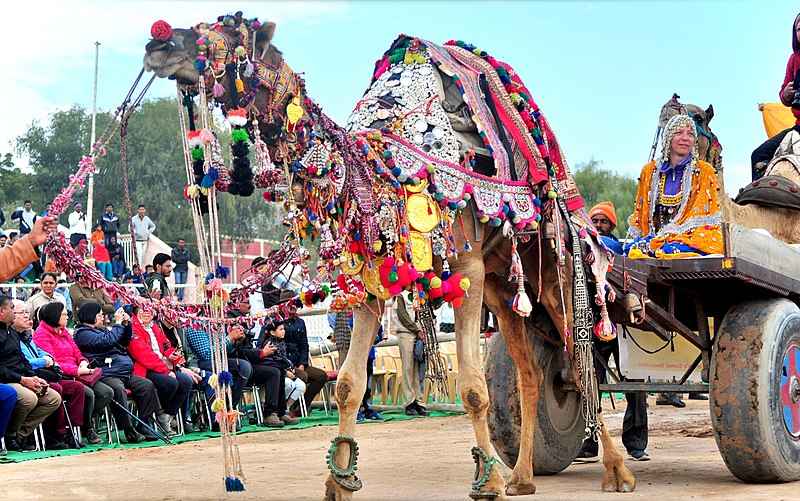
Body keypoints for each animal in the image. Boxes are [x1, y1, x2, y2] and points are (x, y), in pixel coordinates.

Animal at [141, 14, 636, 496]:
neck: (371, 172)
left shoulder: (466, 268)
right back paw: (524, 476)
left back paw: (614, 470)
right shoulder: (371, 281)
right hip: (504, 283)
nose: (158, 44)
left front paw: (488, 482)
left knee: (579, 356)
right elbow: (347, 385)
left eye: (228, 33)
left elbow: (473, 388)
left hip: (549, 258)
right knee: (529, 370)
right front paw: (338, 482)